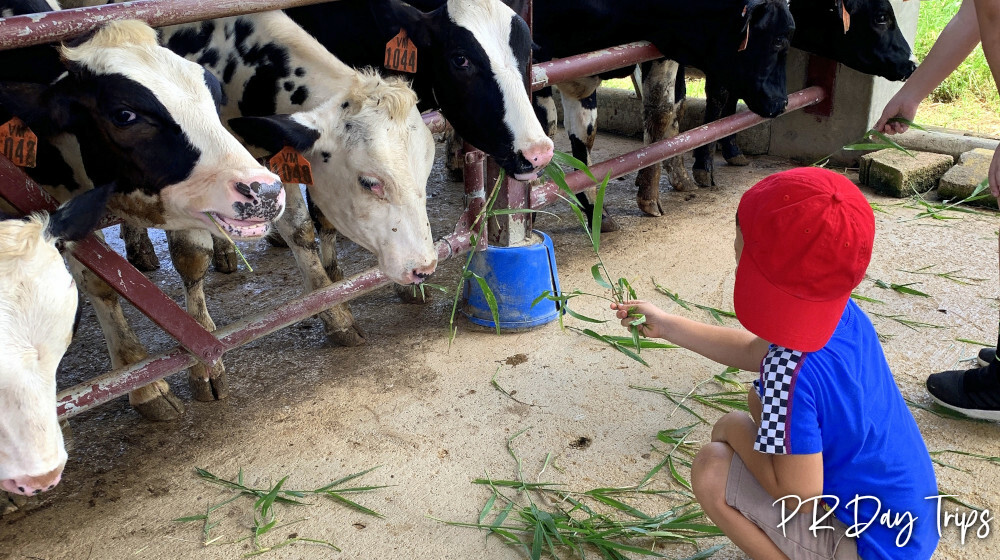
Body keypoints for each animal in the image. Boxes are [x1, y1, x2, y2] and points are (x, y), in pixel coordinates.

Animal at [688, 0, 916, 188]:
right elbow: (718, 98)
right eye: (881, 17)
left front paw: (732, 151)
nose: (912, 64)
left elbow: (732, 97)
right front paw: (703, 166)